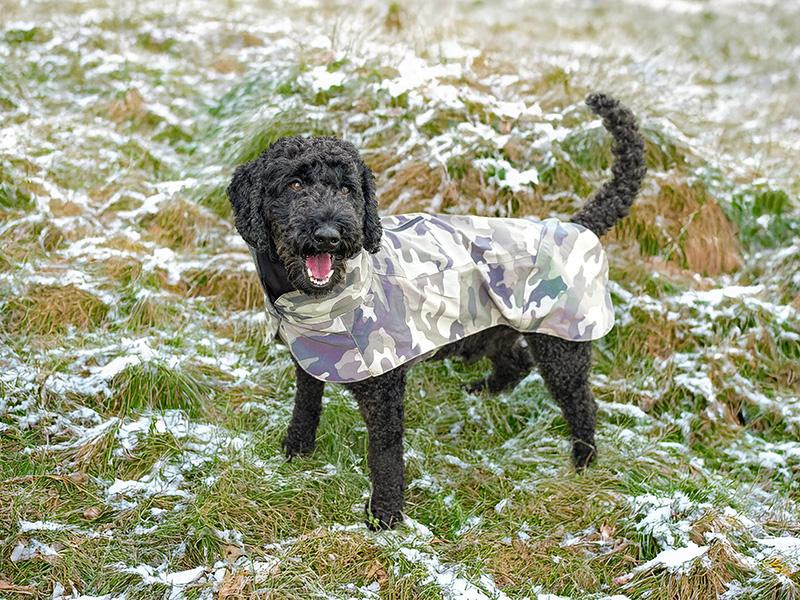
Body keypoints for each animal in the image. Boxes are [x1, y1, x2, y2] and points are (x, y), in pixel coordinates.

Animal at [226, 93, 646, 530]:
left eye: (346, 189)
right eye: (293, 183)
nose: (330, 235)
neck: (315, 298)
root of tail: (575, 226)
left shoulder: (384, 388)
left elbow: (385, 454)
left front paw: (385, 517)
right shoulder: (310, 362)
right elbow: (306, 406)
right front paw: (296, 451)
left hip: (560, 346)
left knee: (582, 404)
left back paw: (583, 460)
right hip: (494, 329)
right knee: (516, 362)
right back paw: (485, 391)